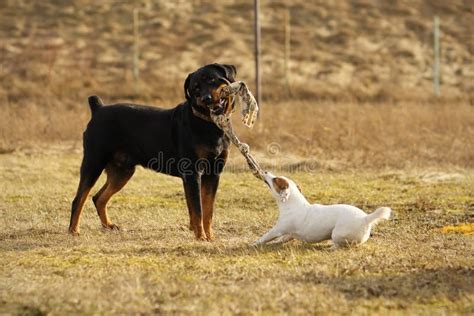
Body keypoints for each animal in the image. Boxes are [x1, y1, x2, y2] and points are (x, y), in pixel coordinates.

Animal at [68, 63, 237, 239]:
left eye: (212, 79)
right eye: (196, 88)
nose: (206, 98)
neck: (208, 124)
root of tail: (98, 109)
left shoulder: (213, 173)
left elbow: (208, 211)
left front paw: (210, 237)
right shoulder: (192, 173)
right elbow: (198, 210)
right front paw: (201, 237)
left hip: (122, 171)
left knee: (98, 197)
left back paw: (109, 225)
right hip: (93, 162)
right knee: (79, 198)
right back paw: (74, 230)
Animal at [256, 173, 392, 247]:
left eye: (275, 179)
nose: (265, 171)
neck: (293, 203)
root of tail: (365, 219)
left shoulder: (278, 229)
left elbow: (266, 237)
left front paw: (255, 243)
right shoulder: (290, 233)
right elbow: (286, 238)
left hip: (337, 234)